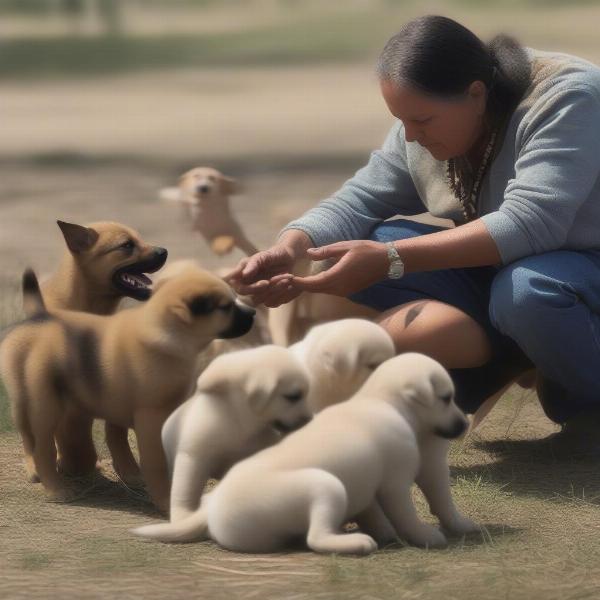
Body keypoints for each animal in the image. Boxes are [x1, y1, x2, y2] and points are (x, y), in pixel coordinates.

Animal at [0, 264, 254, 508]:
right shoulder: (150, 419)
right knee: (41, 446)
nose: (252, 312)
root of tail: (38, 318)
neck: (165, 334)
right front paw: (164, 500)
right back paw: (55, 488)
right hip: (42, 406)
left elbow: (120, 438)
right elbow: (155, 462)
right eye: (225, 307)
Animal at [37, 221, 169, 488]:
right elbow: (74, 436)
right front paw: (72, 465)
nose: (164, 252)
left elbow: (114, 432)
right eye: (126, 245)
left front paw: (129, 470)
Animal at [129, 344, 312, 540]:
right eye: (293, 396)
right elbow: (185, 492)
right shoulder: (193, 458)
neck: (240, 422)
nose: (310, 419)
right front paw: (183, 518)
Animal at [173, 352, 474, 552]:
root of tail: (213, 509)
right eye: (446, 398)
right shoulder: (395, 485)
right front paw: (425, 535)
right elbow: (406, 515)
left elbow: (374, 513)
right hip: (325, 485)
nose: (464, 424)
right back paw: (357, 542)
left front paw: (385, 532)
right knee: (316, 539)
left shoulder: (369, 490)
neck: (385, 402)